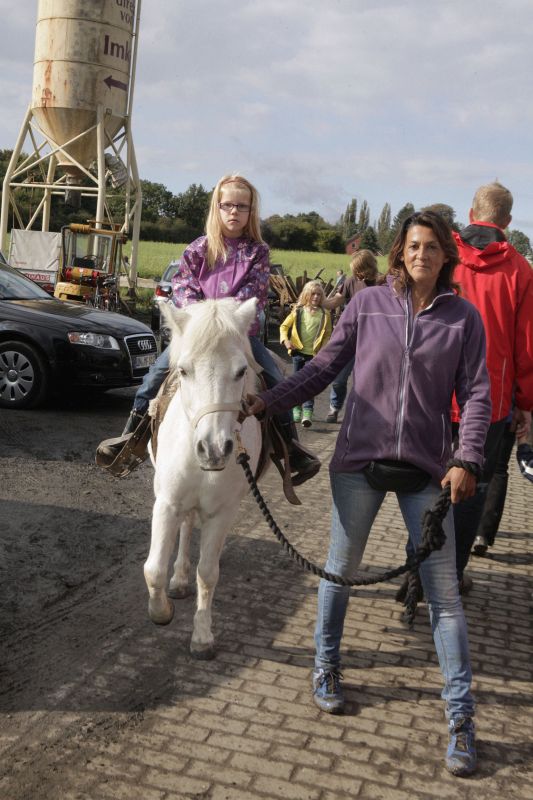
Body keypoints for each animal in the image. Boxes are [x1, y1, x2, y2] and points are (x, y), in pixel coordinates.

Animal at [143, 297, 262, 659]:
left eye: (241, 371)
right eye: (184, 370)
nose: (213, 448)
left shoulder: (222, 512)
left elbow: (208, 573)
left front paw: (202, 637)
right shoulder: (166, 503)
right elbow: (153, 569)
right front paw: (162, 611)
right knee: (185, 526)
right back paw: (179, 580)